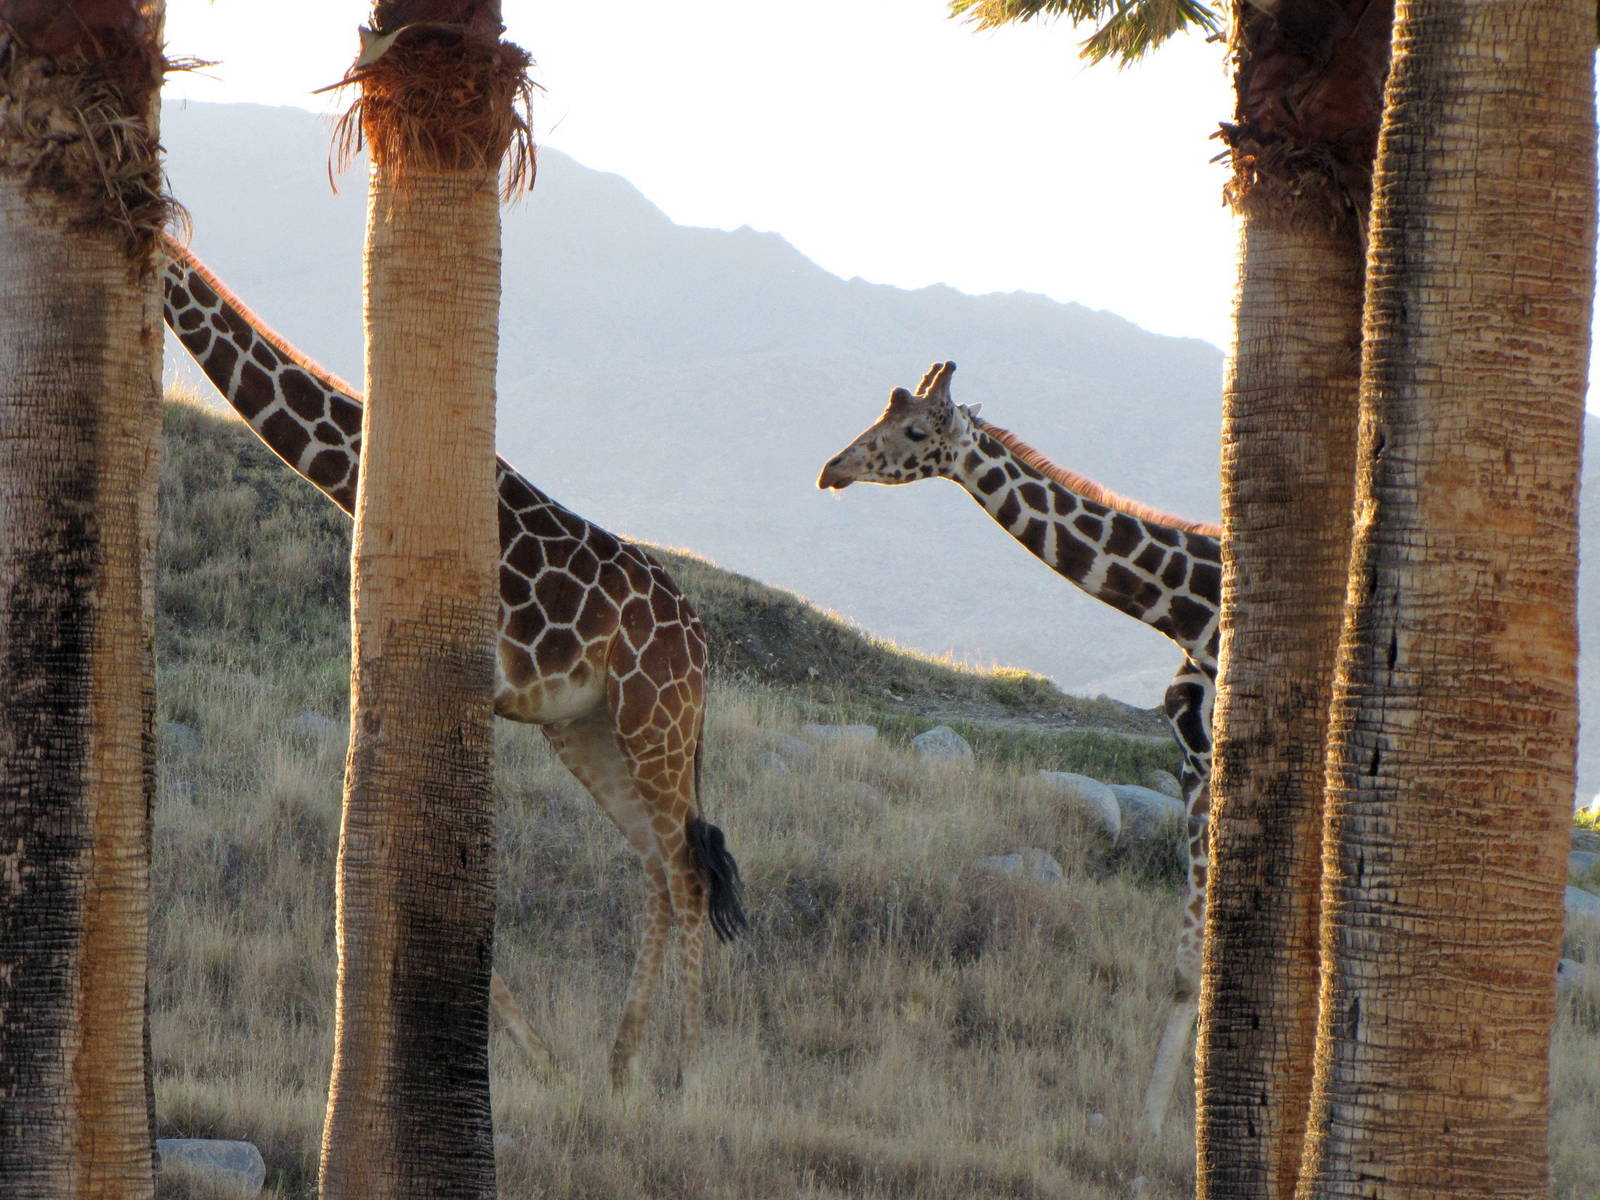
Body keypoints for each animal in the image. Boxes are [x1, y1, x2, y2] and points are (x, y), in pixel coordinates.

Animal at [158, 234, 747, 1089]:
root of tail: (701, 644)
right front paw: (540, 1059)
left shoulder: (467, 682)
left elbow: (459, 865)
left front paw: (528, 1056)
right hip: (589, 729)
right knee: (655, 871)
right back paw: (620, 1065)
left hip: (654, 716)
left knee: (688, 872)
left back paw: (689, 1074)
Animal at [818, 361, 1218, 1133]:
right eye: (881, 415)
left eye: (916, 431)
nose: (831, 470)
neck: (1189, 608)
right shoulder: (1195, 765)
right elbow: (1190, 958)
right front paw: (1146, 1126)